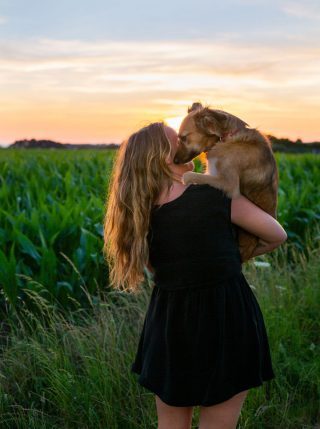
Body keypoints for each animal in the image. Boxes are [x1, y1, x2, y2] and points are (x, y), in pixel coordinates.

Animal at [174, 103, 278, 264]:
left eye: (184, 137)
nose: (175, 161)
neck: (225, 138)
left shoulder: (229, 184)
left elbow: (190, 174)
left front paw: (184, 179)